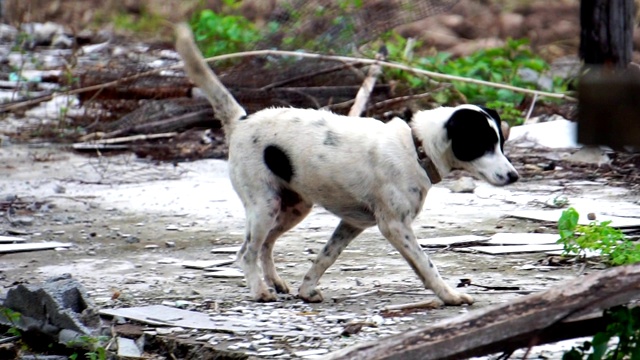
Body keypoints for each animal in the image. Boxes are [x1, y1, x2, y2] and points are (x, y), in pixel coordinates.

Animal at [175, 23, 520, 306]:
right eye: (483, 145)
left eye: (500, 143)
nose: (515, 176)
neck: (417, 147)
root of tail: (242, 121)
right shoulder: (395, 226)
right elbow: (427, 265)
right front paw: (449, 295)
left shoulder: (352, 223)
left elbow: (325, 257)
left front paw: (306, 289)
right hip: (264, 205)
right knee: (246, 251)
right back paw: (259, 290)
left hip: (293, 207)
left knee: (265, 246)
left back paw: (275, 282)